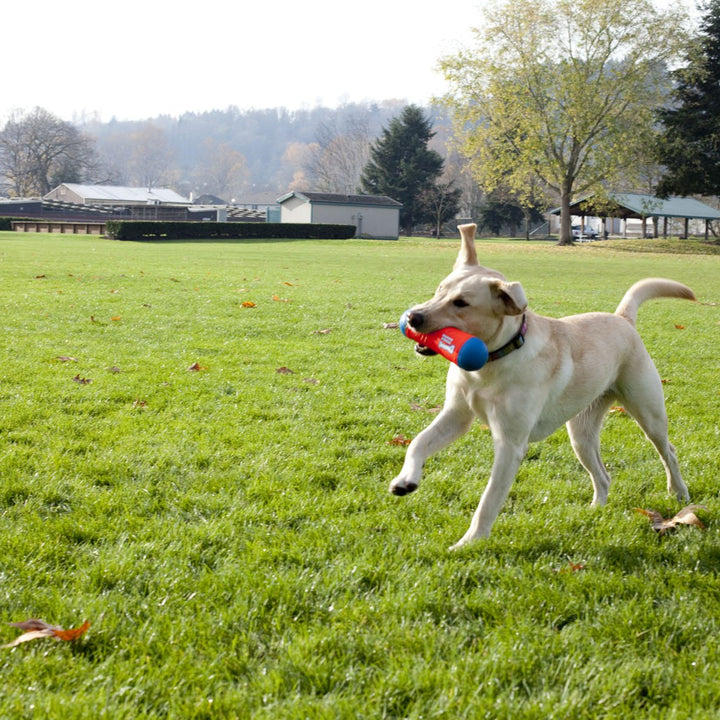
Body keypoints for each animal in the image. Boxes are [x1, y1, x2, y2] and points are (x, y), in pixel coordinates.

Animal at [390, 222, 696, 548]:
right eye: (439, 290)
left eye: (461, 303)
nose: (413, 317)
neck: (490, 363)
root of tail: (622, 319)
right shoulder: (456, 416)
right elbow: (419, 442)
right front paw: (405, 480)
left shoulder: (510, 443)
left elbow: (489, 499)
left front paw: (470, 542)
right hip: (581, 434)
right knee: (603, 475)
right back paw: (596, 509)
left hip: (648, 412)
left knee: (668, 452)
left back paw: (679, 493)